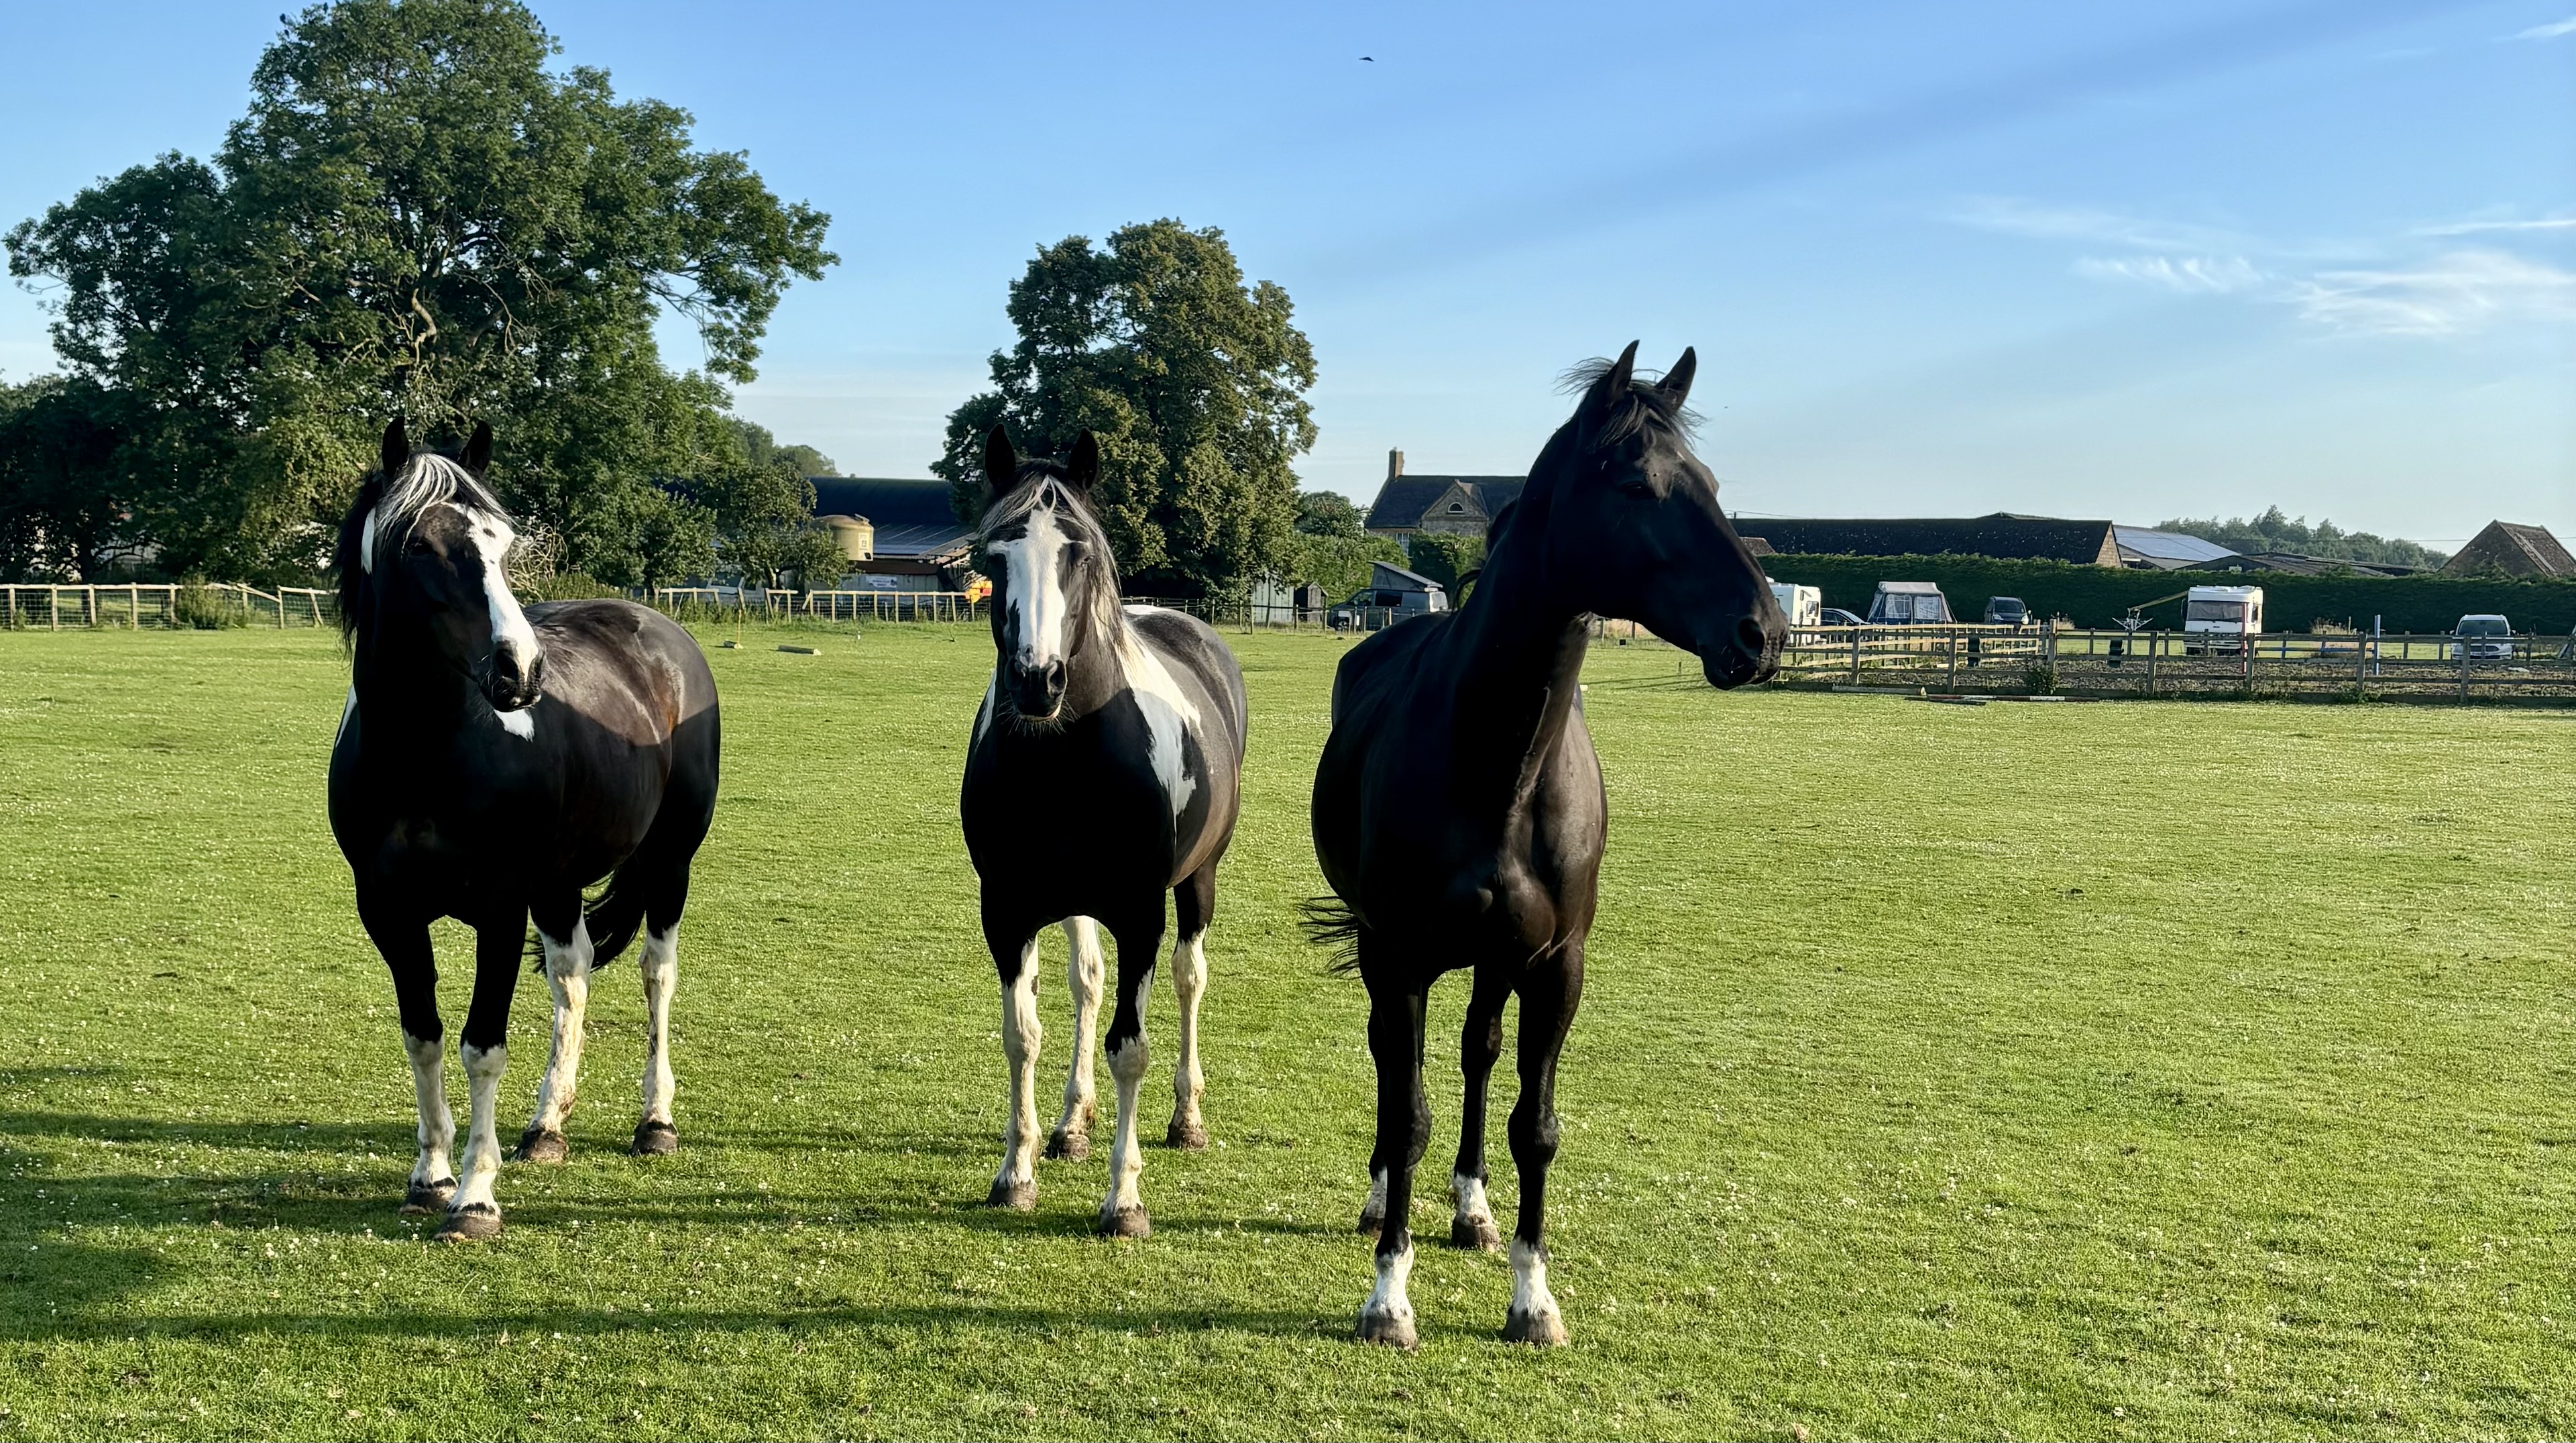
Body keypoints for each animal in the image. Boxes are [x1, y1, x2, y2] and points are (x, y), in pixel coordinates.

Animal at [327, 419, 721, 1241]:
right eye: (420, 545)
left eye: (503, 542)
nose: (520, 670)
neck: (424, 753)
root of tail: (661, 629)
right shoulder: (387, 911)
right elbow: (423, 1034)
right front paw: (431, 1175)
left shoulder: (500, 908)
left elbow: (482, 1045)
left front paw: (475, 1197)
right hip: (561, 882)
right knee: (572, 974)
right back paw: (546, 1128)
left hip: (669, 862)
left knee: (656, 974)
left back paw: (655, 1122)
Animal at [959, 426, 1248, 1237]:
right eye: (993, 555)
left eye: (1079, 553)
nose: (1038, 681)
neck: (1069, 750)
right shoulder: (1008, 912)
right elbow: (1022, 1035)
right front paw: (1016, 1171)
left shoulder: (1139, 913)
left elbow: (1131, 1049)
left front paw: (1124, 1199)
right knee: (1086, 984)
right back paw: (1070, 1125)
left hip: (1196, 885)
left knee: (1188, 979)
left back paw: (1185, 1119)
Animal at [1308, 343, 1785, 1347]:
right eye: (1639, 484)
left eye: (1712, 483)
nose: (1762, 632)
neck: (1502, 764)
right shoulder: (1399, 957)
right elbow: (1404, 1110)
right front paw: (1387, 1298)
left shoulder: (1557, 964)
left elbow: (1535, 1123)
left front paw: (1531, 1296)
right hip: (1386, 951)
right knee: (1393, 1069)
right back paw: (1380, 1201)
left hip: (1496, 961)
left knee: (1478, 1052)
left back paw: (1472, 1209)